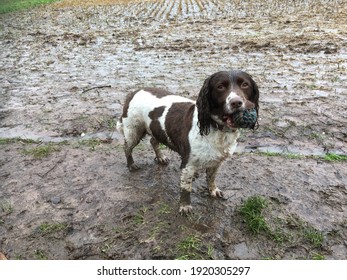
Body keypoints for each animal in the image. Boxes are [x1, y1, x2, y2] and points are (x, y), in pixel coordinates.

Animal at [118, 70, 260, 214]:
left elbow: (211, 178)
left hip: (155, 129)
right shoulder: (188, 164)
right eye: (220, 87)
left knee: (153, 141)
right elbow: (186, 188)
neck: (215, 127)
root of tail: (134, 92)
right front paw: (185, 206)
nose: (236, 102)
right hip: (134, 131)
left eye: (245, 84)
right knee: (127, 148)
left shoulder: (216, 162)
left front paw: (213, 191)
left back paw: (161, 158)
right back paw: (131, 165)